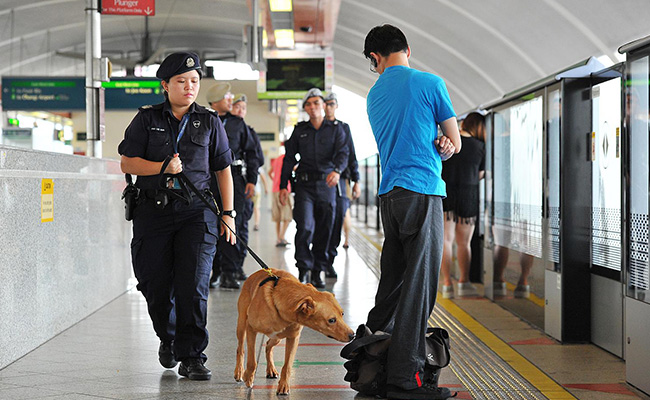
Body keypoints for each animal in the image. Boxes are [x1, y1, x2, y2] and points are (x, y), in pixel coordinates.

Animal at [234, 268, 354, 396]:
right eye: (331, 320)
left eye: (342, 314)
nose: (353, 335)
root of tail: (256, 273)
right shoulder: (251, 328)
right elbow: (252, 361)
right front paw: (248, 377)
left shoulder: (293, 338)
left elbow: (287, 366)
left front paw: (283, 386)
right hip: (242, 326)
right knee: (240, 349)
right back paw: (239, 371)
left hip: (277, 338)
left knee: (268, 346)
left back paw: (271, 369)